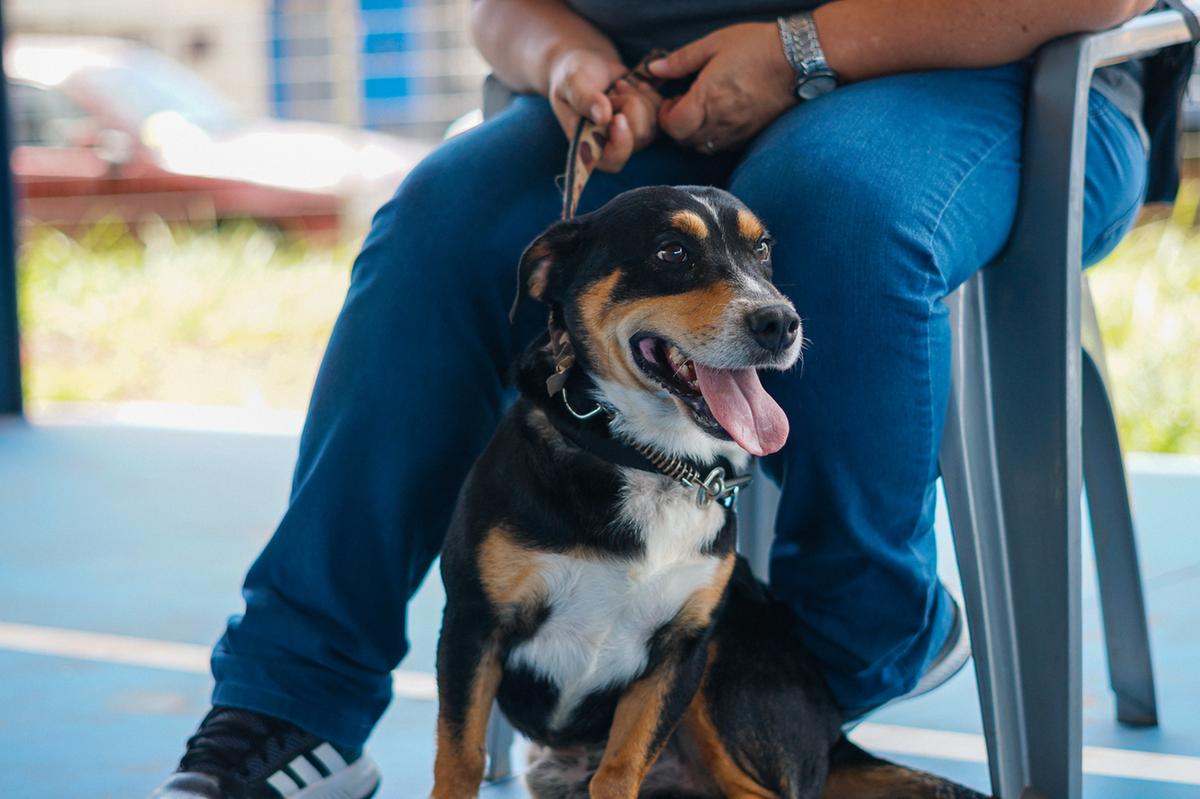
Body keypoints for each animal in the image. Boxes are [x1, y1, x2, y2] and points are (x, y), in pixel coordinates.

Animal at [432, 184, 984, 796]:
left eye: (762, 249)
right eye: (672, 253)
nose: (780, 323)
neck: (655, 463)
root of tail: (835, 735)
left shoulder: (683, 651)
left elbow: (618, 772)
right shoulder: (474, 625)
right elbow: (461, 760)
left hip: (725, 673)